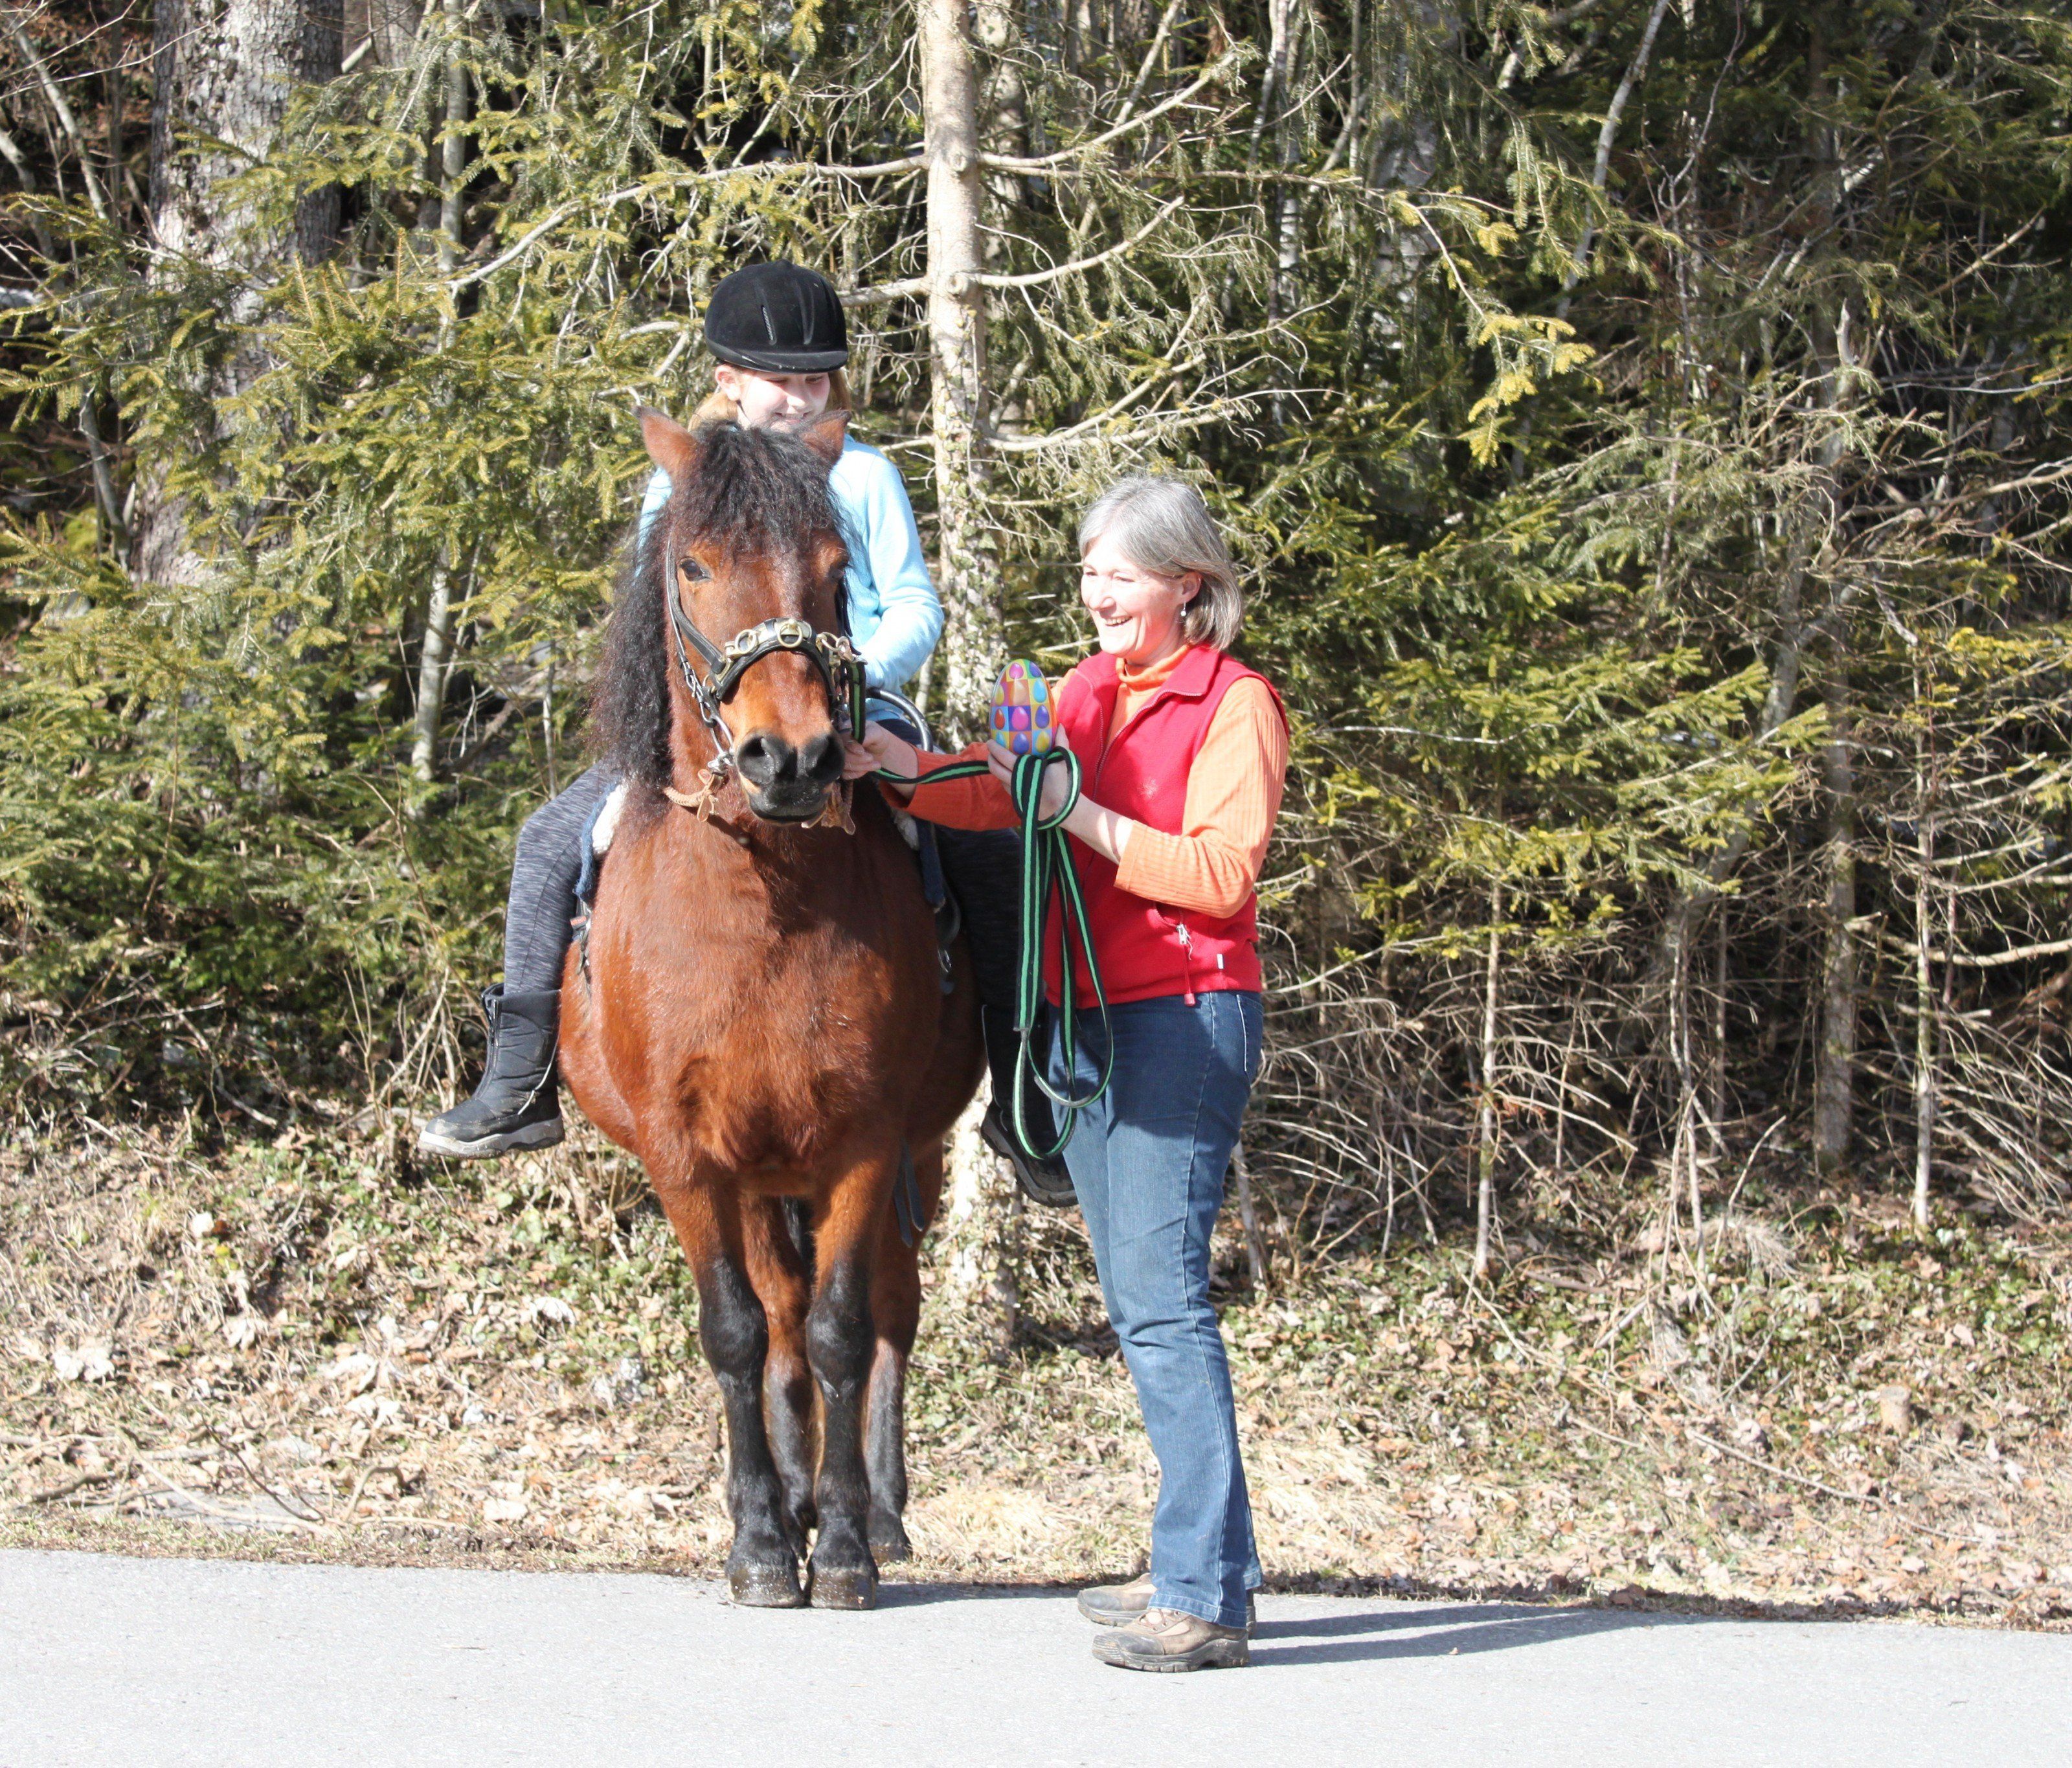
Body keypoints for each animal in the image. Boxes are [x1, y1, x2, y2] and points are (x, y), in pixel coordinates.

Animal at [563, 406, 982, 1608]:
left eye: (839, 574)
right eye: (694, 565)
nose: (787, 757)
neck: (762, 905)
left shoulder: (866, 1143)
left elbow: (845, 1331)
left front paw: (841, 1545)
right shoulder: (687, 1156)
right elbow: (739, 1333)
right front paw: (759, 1537)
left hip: (905, 1163)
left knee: (885, 1314)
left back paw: (872, 1510)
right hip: (755, 1179)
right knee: (780, 1316)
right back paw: (791, 1496)